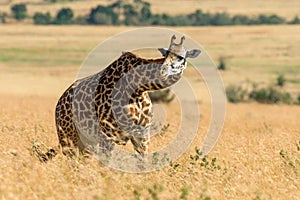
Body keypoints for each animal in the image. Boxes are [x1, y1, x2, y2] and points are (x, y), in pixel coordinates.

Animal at [49, 34, 199, 159]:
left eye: (182, 57)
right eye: (167, 53)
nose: (163, 71)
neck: (137, 89)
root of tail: (59, 103)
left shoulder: (142, 136)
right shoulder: (107, 136)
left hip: (85, 142)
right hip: (68, 138)